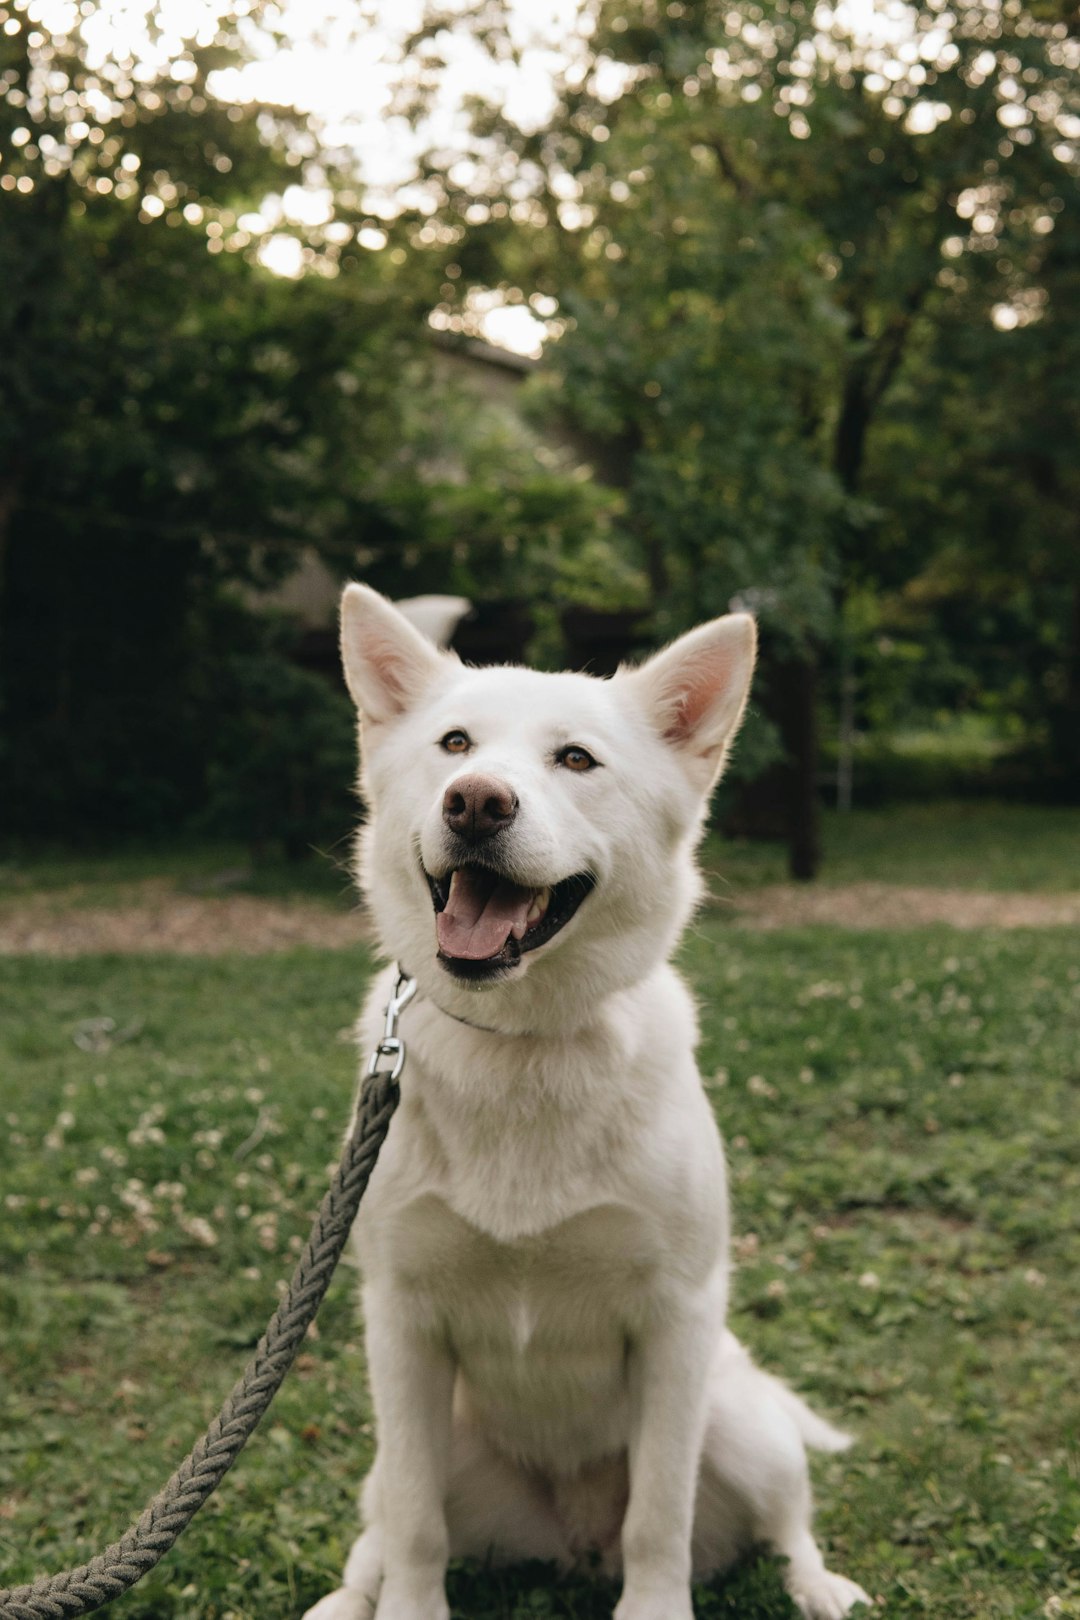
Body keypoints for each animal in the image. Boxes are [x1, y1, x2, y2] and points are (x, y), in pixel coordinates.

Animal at [304, 586, 867, 1620]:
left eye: (575, 759)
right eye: (453, 744)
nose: (476, 801)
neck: (521, 1047)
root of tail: (569, 1543)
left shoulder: (677, 1322)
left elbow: (659, 1516)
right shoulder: (400, 1326)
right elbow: (413, 1526)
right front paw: (404, 1608)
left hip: (740, 1421)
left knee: (786, 1523)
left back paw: (819, 1587)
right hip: (424, 1444)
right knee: (382, 1524)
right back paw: (345, 1601)